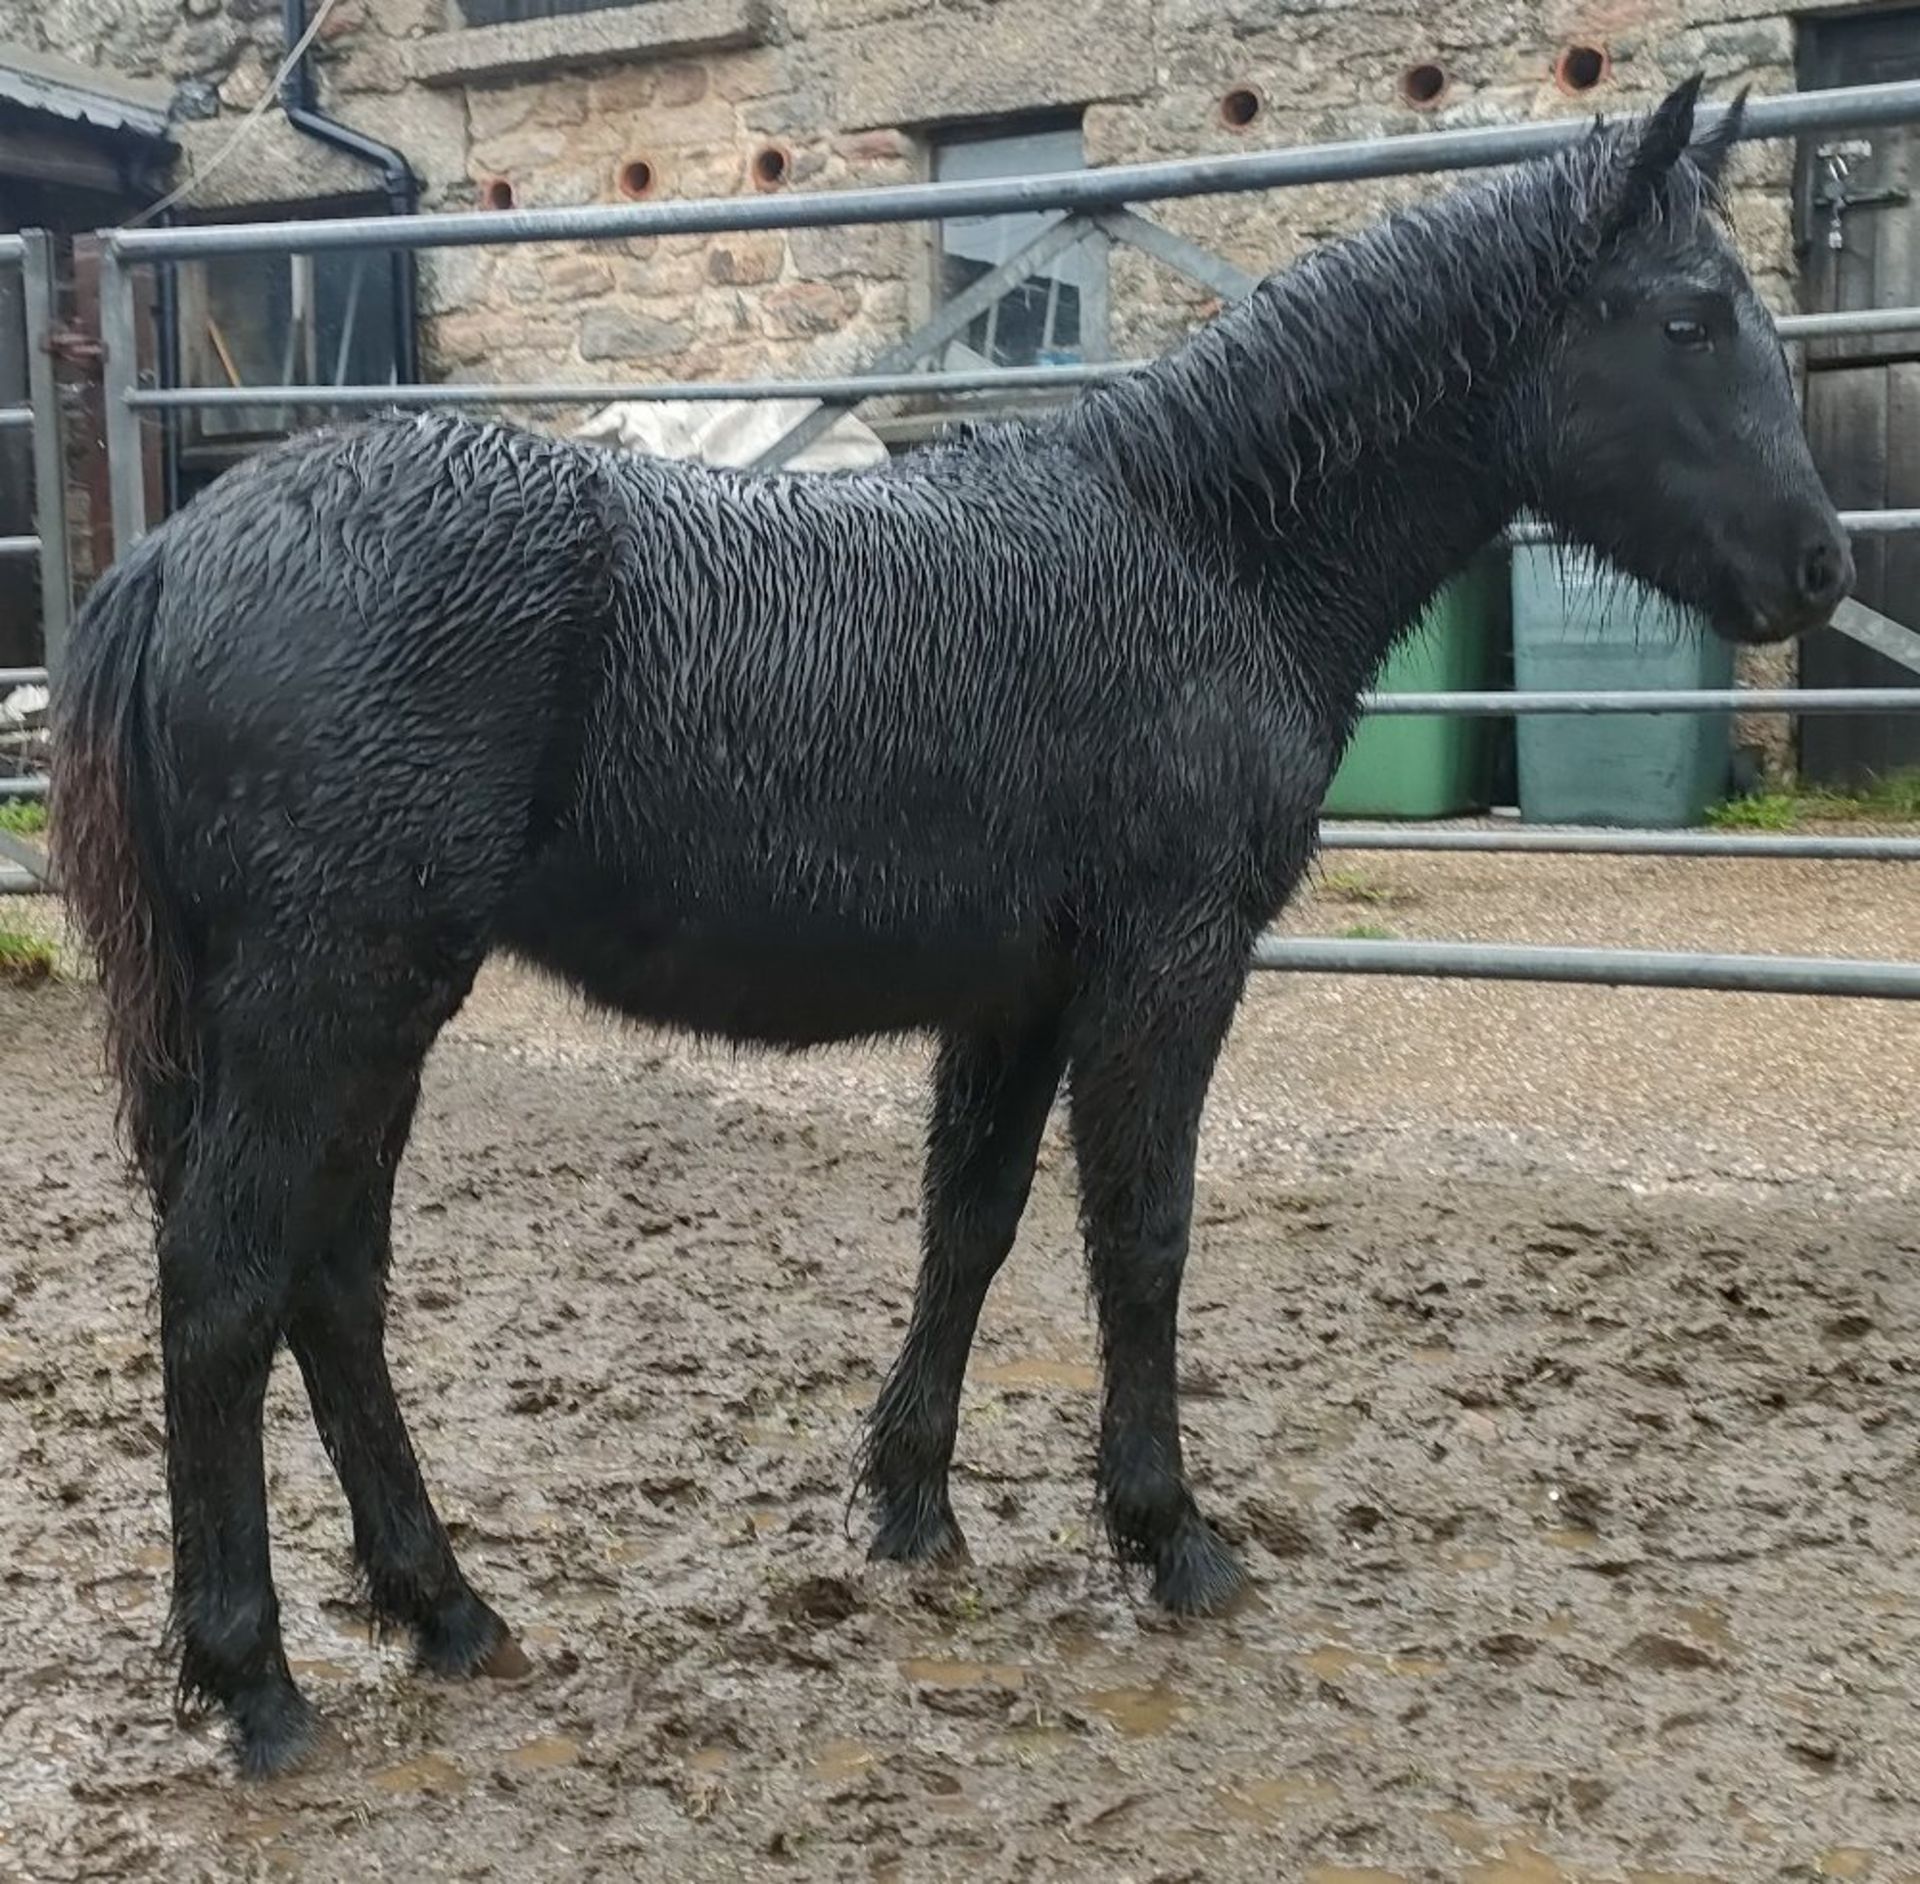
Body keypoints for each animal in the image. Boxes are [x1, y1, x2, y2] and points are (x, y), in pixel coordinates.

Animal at [48, 77, 1843, 1782]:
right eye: (1690, 318)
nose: (1820, 566)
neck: (1200, 550)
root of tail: (177, 554)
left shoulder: (1018, 998)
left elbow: (968, 1227)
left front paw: (914, 1507)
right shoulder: (1167, 963)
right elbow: (1142, 1233)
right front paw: (1169, 1533)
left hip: (375, 1010)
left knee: (333, 1281)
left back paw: (444, 1606)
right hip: (334, 998)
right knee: (227, 1282)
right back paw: (257, 1679)